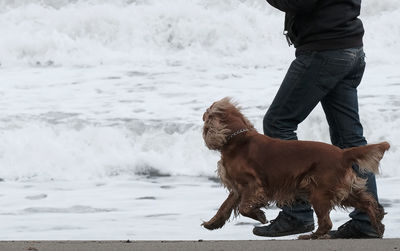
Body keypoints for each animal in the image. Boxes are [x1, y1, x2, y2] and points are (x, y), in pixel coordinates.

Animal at [202, 97, 390, 239]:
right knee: (368, 203)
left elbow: (244, 208)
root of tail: (343, 153)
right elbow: (224, 206)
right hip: (342, 191)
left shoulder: (253, 185)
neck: (237, 139)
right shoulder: (238, 188)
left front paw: (260, 216)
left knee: (326, 223)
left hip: (319, 192)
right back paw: (377, 227)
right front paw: (211, 223)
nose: (203, 116)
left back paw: (311, 236)